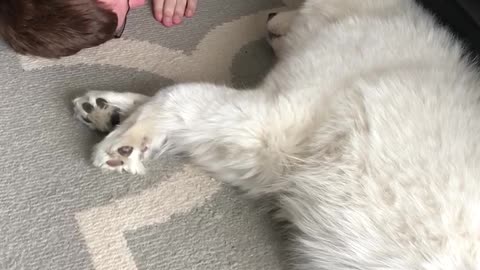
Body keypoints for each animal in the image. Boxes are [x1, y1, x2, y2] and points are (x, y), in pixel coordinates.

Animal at [73, 1, 480, 268]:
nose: (268, 14)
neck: (366, 16)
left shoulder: (273, 118)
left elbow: (174, 95)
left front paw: (123, 141)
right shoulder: (266, 157)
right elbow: (167, 100)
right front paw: (110, 109)